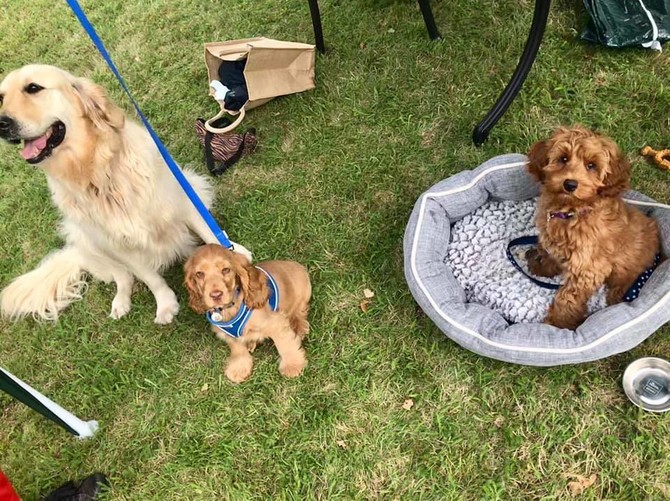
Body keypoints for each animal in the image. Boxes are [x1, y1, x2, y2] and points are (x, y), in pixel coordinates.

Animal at [184, 244, 310, 380]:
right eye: (199, 274)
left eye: (226, 270)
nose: (216, 295)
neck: (229, 308)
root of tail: (296, 263)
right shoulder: (228, 335)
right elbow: (238, 349)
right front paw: (238, 369)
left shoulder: (275, 323)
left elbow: (284, 344)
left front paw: (292, 366)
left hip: (302, 292)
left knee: (299, 311)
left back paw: (299, 327)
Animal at [528, 125, 664, 328]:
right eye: (563, 158)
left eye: (591, 165)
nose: (570, 184)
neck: (572, 212)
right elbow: (550, 256)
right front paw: (541, 268)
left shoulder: (588, 268)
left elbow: (568, 298)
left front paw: (559, 323)